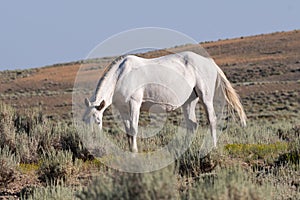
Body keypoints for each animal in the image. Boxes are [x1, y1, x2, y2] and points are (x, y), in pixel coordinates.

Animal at [82, 50, 246, 152]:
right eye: (84, 121)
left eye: (98, 121)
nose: (91, 142)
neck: (121, 74)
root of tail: (210, 63)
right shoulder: (123, 109)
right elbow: (128, 131)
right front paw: (130, 150)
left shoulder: (135, 104)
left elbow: (134, 129)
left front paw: (134, 151)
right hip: (189, 102)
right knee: (192, 124)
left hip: (205, 97)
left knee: (211, 120)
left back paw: (213, 147)